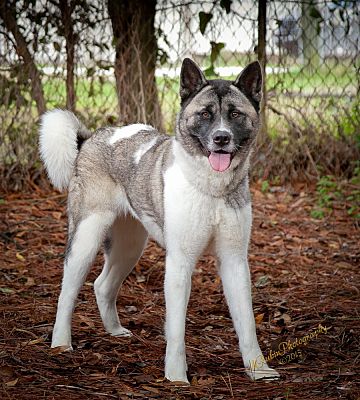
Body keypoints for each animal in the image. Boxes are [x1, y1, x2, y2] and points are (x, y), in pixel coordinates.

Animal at [40, 58, 282, 382]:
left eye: (235, 114)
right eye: (205, 114)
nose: (221, 138)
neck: (211, 188)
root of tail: (90, 139)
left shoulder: (234, 261)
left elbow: (247, 323)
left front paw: (258, 369)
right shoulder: (180, 263)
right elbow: (177, 328)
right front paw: (176, 377)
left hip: (130, 246)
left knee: (102, 285)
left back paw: (114, 331)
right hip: (85, 239)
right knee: (67, 291)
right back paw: (60, 343)